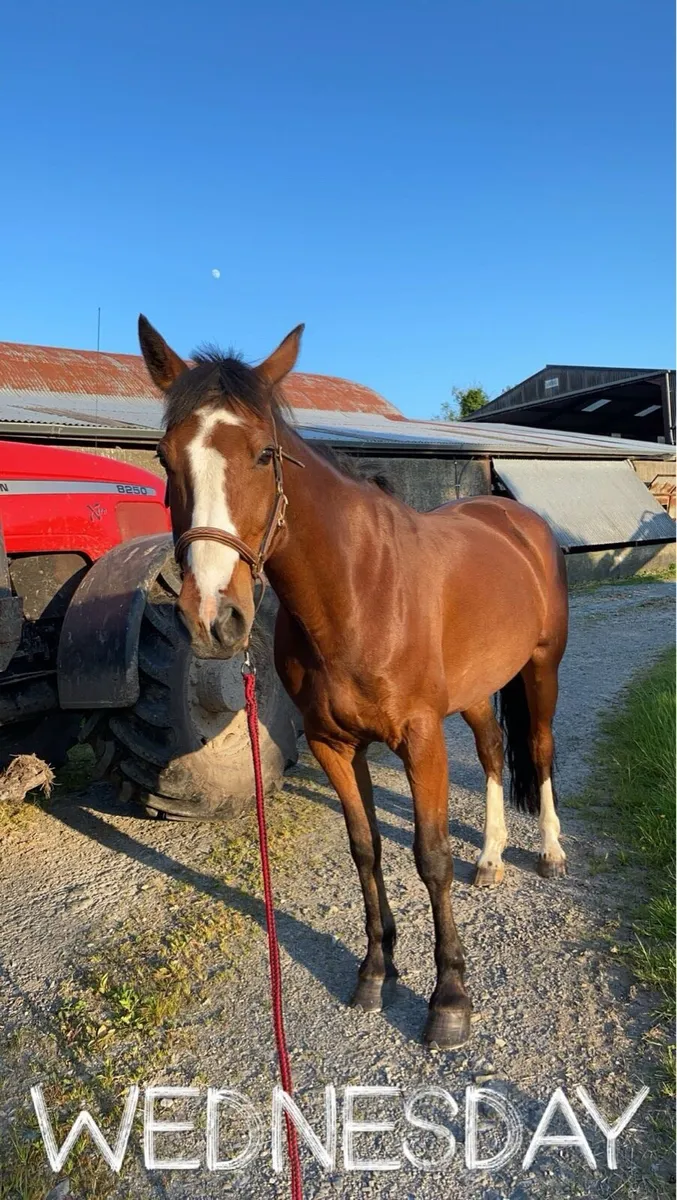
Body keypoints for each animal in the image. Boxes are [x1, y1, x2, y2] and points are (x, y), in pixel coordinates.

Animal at [139, 316, 569, 1049]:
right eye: (166, 459)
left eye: (264, 454)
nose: (213, 618)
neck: (356, 591)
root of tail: (518, 519)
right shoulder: (334, 745)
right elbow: (365, 851)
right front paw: (375, 971)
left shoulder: (420, 741)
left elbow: (429, 857)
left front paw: (449, 999)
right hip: (476, 692)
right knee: (490, 753)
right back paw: (490, 857)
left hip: (541, 667)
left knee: (538, 750)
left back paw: (549, 851)